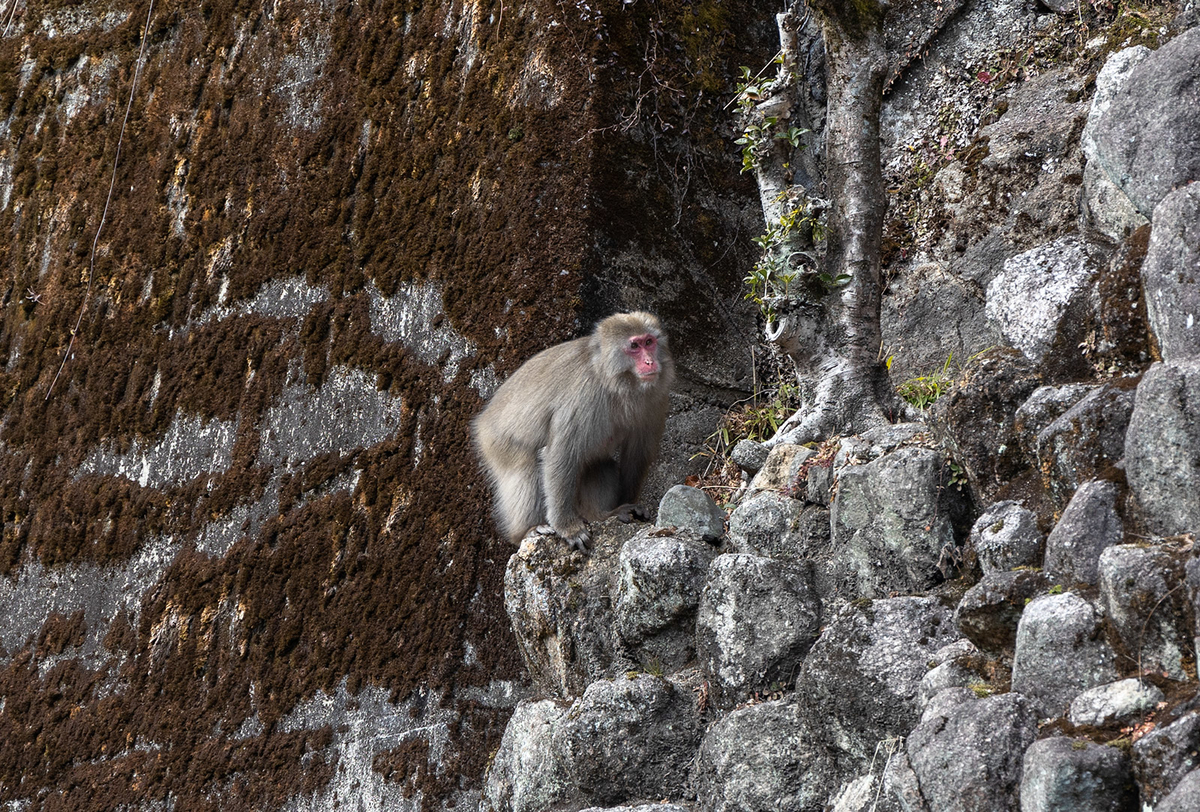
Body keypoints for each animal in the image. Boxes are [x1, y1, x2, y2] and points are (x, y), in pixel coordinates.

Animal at [470, 309, 676, 551]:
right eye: (634, 346)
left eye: (649, 342)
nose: (650, 361)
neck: (614, 382)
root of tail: (484, 418)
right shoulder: (584, 397)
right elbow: (561, 454)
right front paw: (567, 527)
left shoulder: (656, 397)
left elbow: (637, 454)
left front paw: (629, 503)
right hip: (496, 442)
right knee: (524, 467)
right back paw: (526, 531)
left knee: (601, 464)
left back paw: (600, 515)